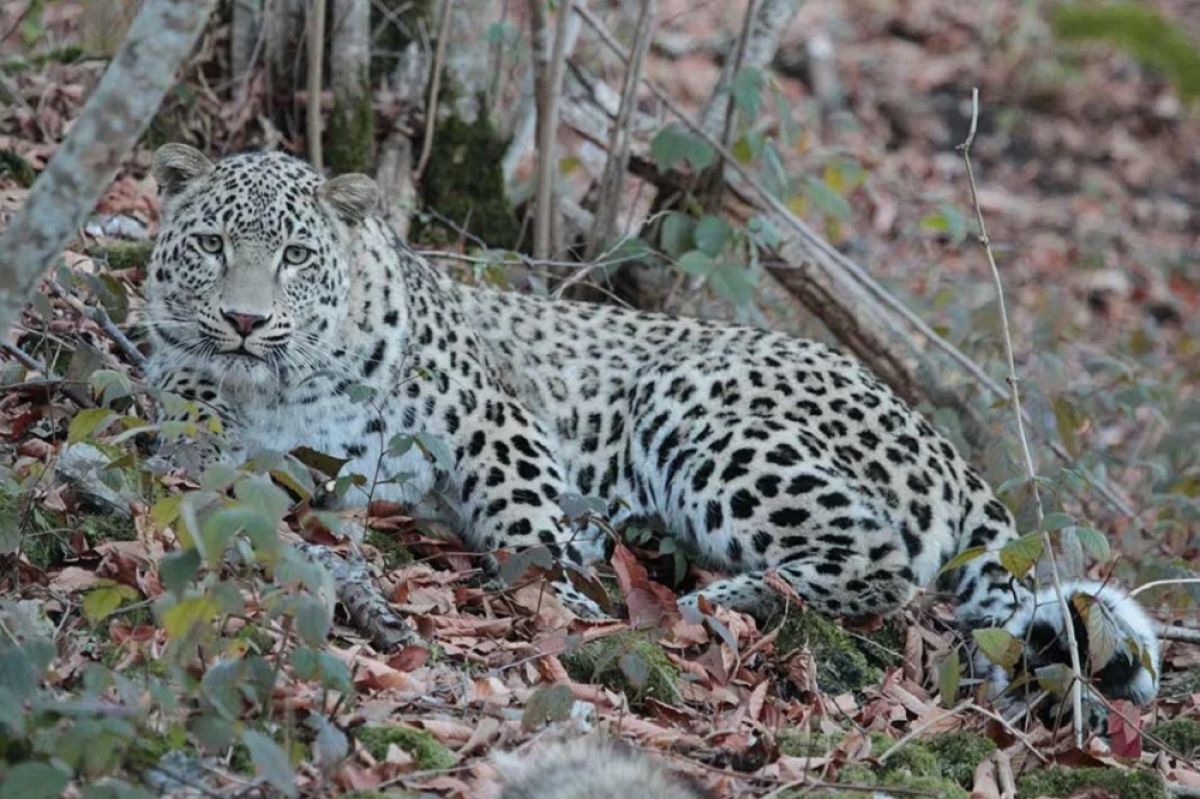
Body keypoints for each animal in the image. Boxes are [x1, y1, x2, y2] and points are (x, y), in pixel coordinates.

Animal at [142, 144, 1161, 715]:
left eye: (296, 254)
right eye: (211, 246)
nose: (244, 319)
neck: (287, 382)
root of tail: (942, 439)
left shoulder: (495, 419)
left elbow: (522, 525)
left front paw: (564, 604)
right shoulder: (199, 397)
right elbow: (194, 429)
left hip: (693, 404)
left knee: (887, 564)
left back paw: (725, 600)